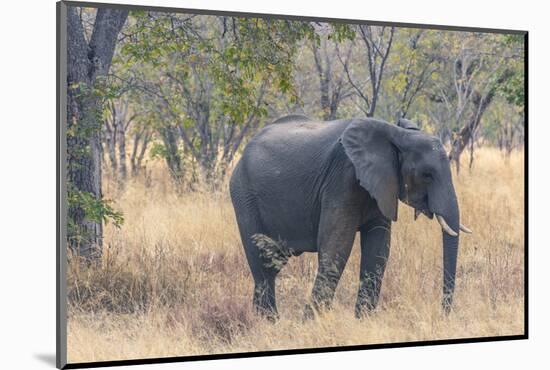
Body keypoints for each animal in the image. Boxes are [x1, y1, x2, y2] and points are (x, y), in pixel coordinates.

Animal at [231, 114, 472, 320]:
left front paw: (363, 319)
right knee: (263, 265)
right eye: (427, 175)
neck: (397, 134)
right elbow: (337, 246)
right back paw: (269, 322)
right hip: (244, 196)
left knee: (271, 265)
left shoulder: (381, 185)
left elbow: (378, 249)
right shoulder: (342, 177)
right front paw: (311, 322)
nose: (443, 314)